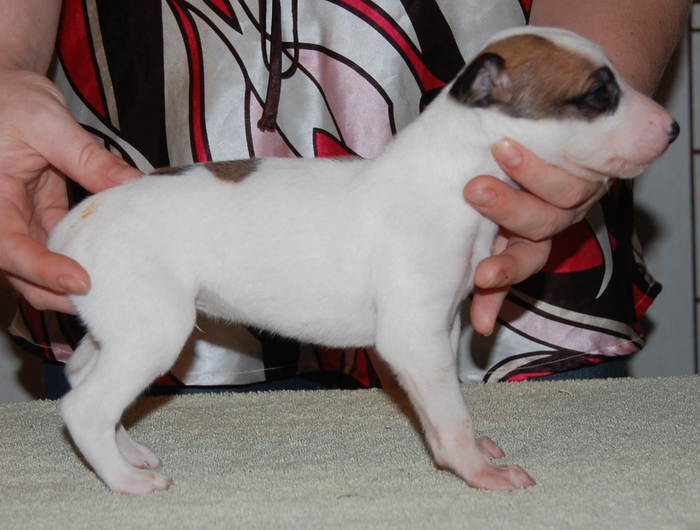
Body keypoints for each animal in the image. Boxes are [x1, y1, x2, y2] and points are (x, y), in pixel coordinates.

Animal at [49, 26, 679, 494]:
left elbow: (443, 406)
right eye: (598, 96)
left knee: (82, 379)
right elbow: (452, 413)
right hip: (153, 331)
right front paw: (476, 469)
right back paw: (126, 480)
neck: (448, 173)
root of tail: (77, 222)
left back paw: (130, 453)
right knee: (84, 407)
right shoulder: (414, 337)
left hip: (120, 328)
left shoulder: (441, 329)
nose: (673, 129)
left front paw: (467, 452)